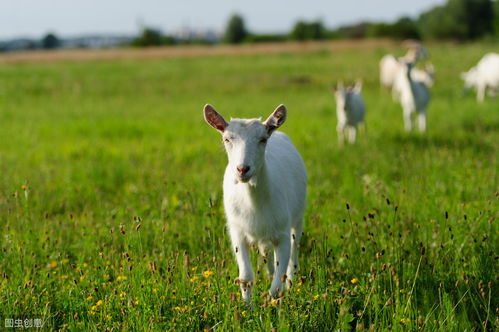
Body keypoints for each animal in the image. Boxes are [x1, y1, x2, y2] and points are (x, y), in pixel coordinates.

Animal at [204, 104, 308, 304]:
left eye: (262, 139)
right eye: (226, 139)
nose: (242, 169)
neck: (253, 201)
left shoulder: (282, 233)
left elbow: (276, 287)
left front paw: (273, 305)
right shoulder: (237, 232)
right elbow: (245, 278)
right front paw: (247, 308)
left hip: (298, 216)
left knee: (294, 248)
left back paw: (291, 282)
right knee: (265, 251)